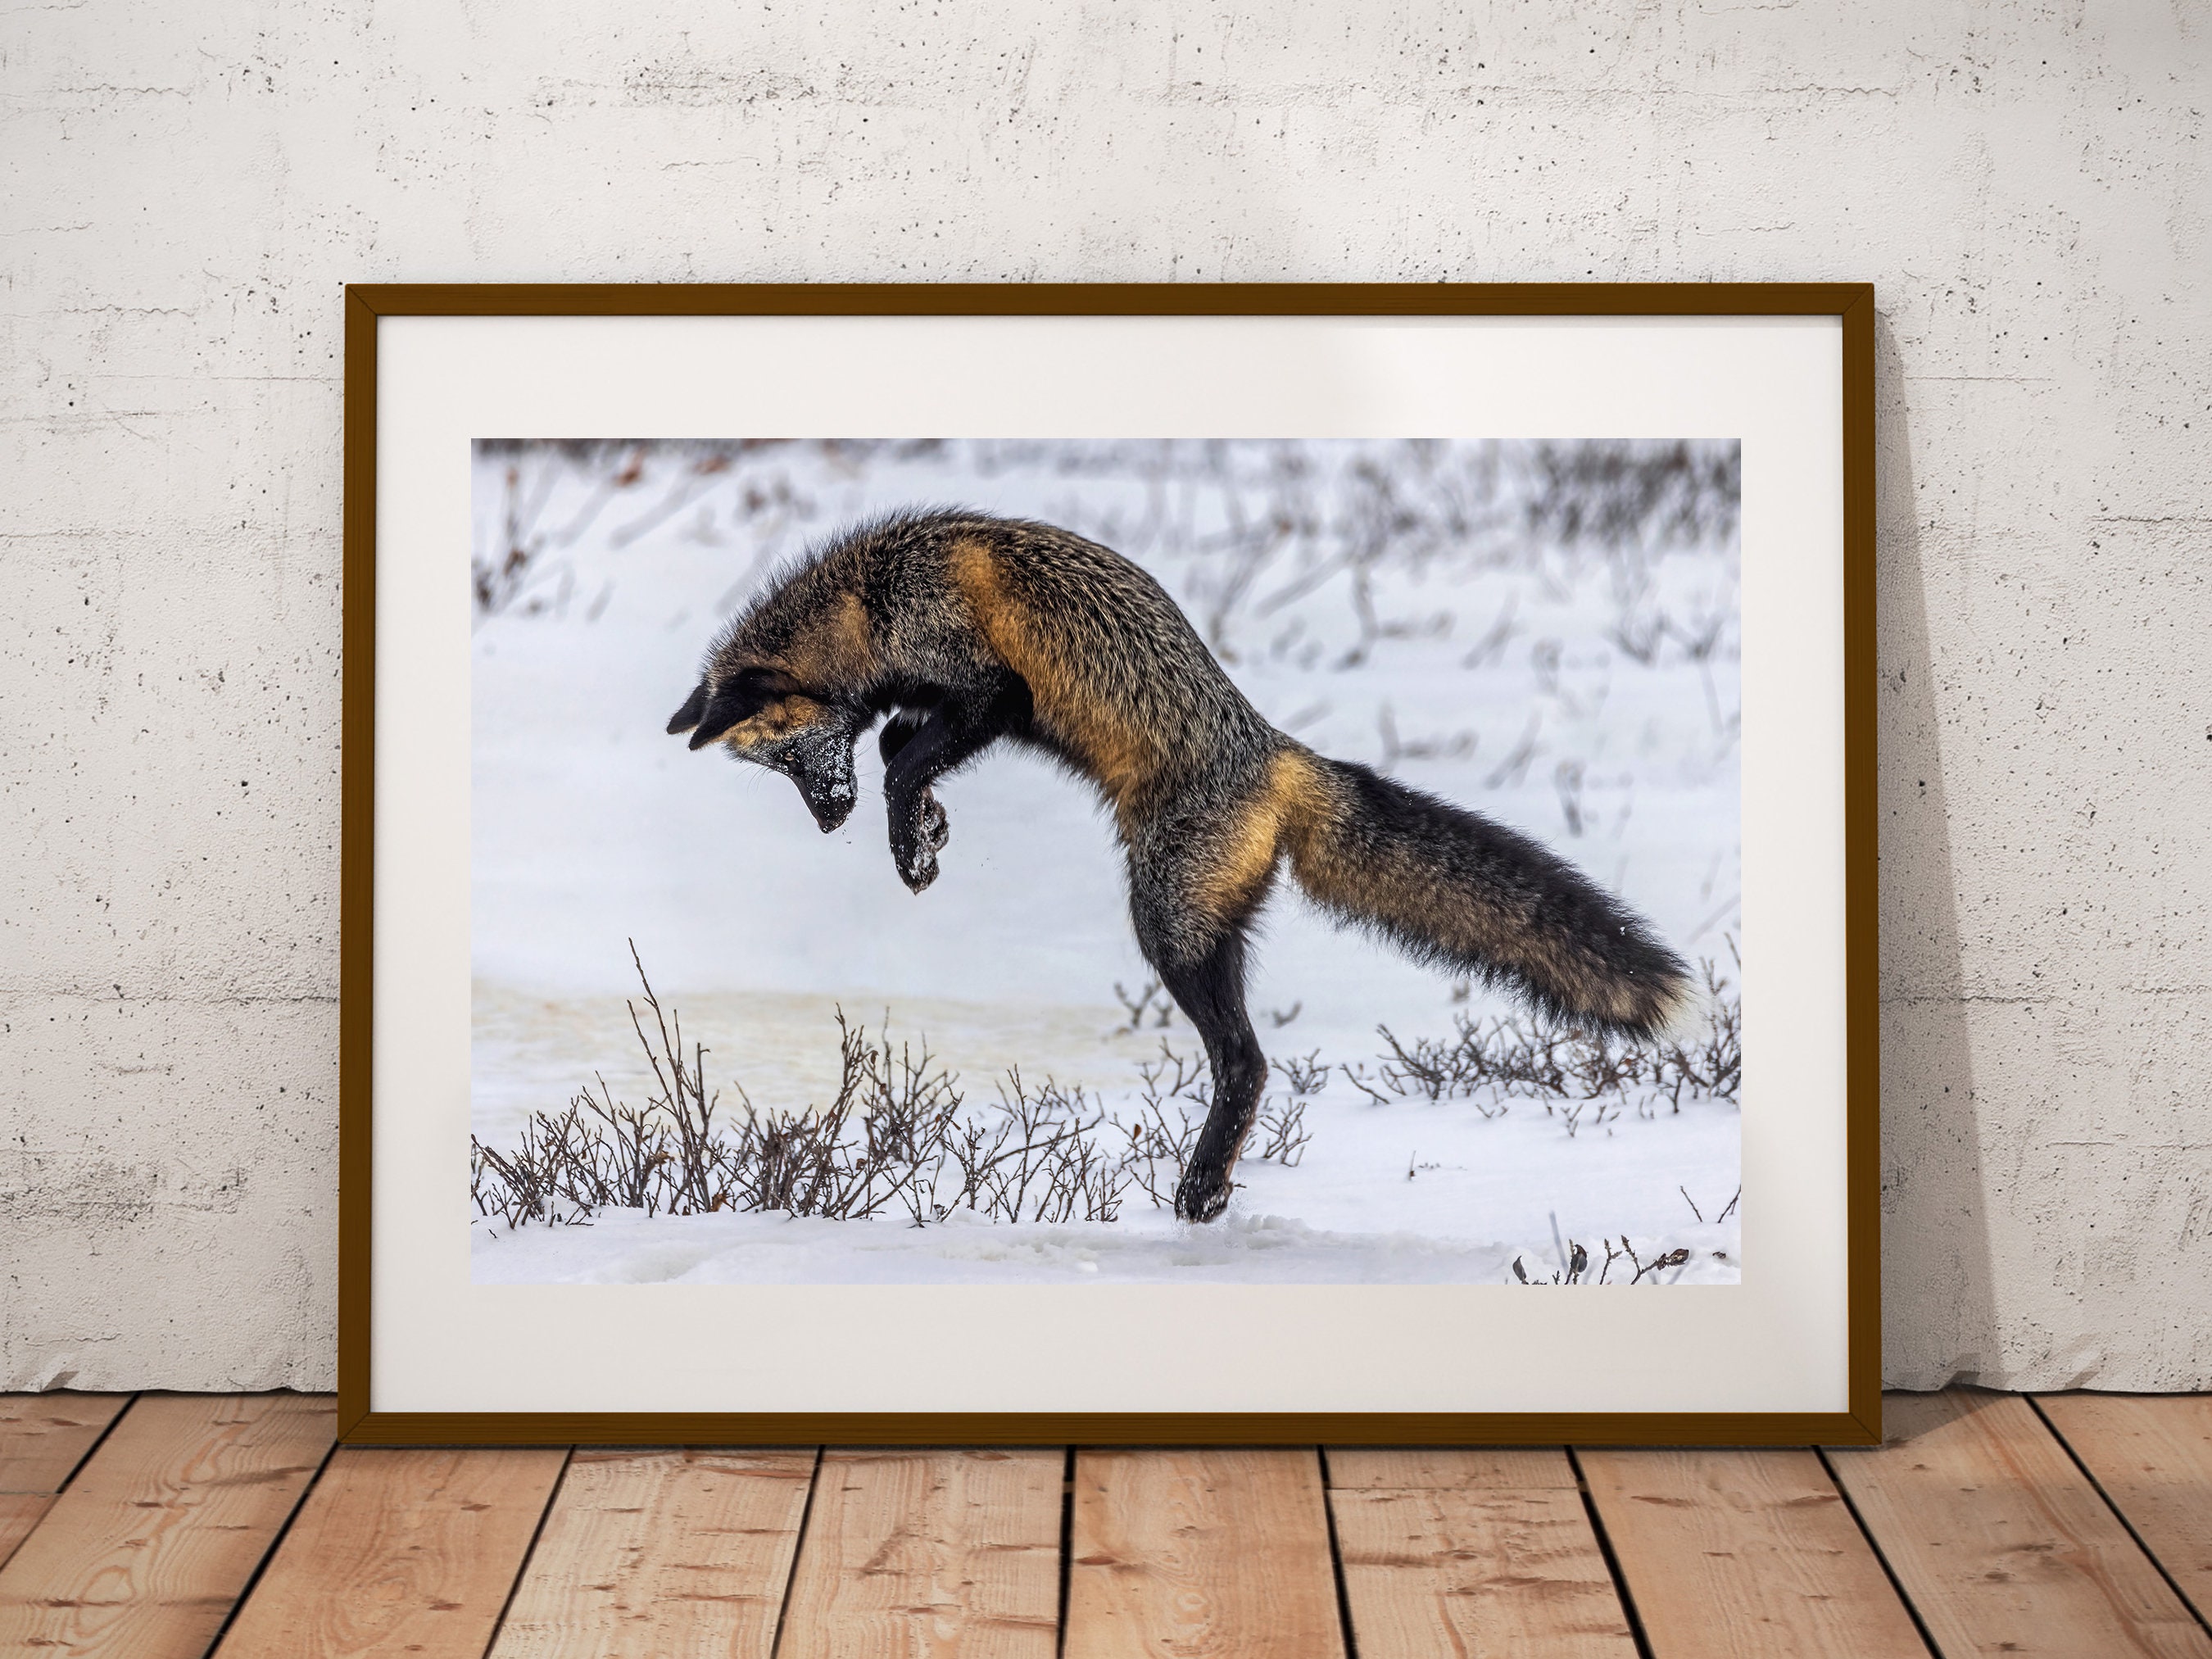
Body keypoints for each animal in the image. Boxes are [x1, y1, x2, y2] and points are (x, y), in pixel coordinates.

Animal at [667, 509, 1693, 1223]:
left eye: (791, 754)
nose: (827, 819)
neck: (872, 598)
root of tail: (1280, 756)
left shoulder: (993, 687)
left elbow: (903, 756)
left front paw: (907, 843)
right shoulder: (942, 700)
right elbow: (899, 749)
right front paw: (927, 827)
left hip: (1165, 921)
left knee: (1245, 1060)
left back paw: (1198, 1189)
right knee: (1248, 1060)